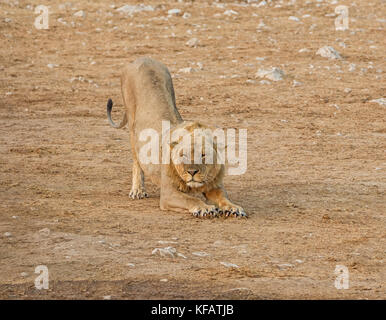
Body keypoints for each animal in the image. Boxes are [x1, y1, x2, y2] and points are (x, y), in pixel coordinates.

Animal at [107, 57, 246, 218]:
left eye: (203, 155)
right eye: (183, 155)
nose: (192, 172)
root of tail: (142, 58)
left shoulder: (214, 185)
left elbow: (224, 198)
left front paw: (234, 208)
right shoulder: (168, 194)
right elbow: (191, 200)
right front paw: (205, 208)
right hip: (131, 121)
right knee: (136, 160)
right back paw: (138, 190)